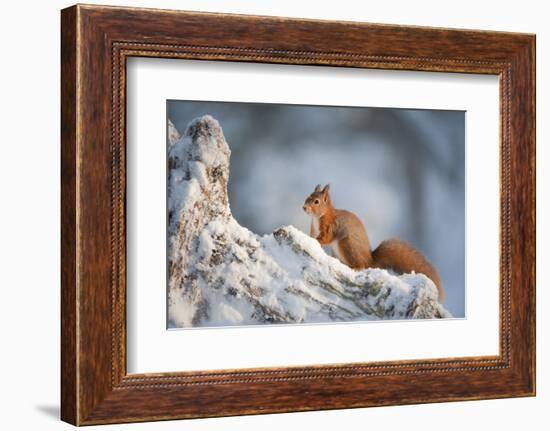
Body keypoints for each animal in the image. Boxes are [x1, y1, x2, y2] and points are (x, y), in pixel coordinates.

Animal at [304, 184, 446, 302]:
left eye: (316, 201)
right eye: (308, 196)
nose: (304, 207)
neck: (318, 217)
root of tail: (370, 261)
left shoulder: (331, 227)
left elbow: (325, 238)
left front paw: (316, 241)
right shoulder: (313, 229)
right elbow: (311, 236)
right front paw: (310, 239)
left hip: (348, 246)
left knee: (361, 265)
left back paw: (355, 267)